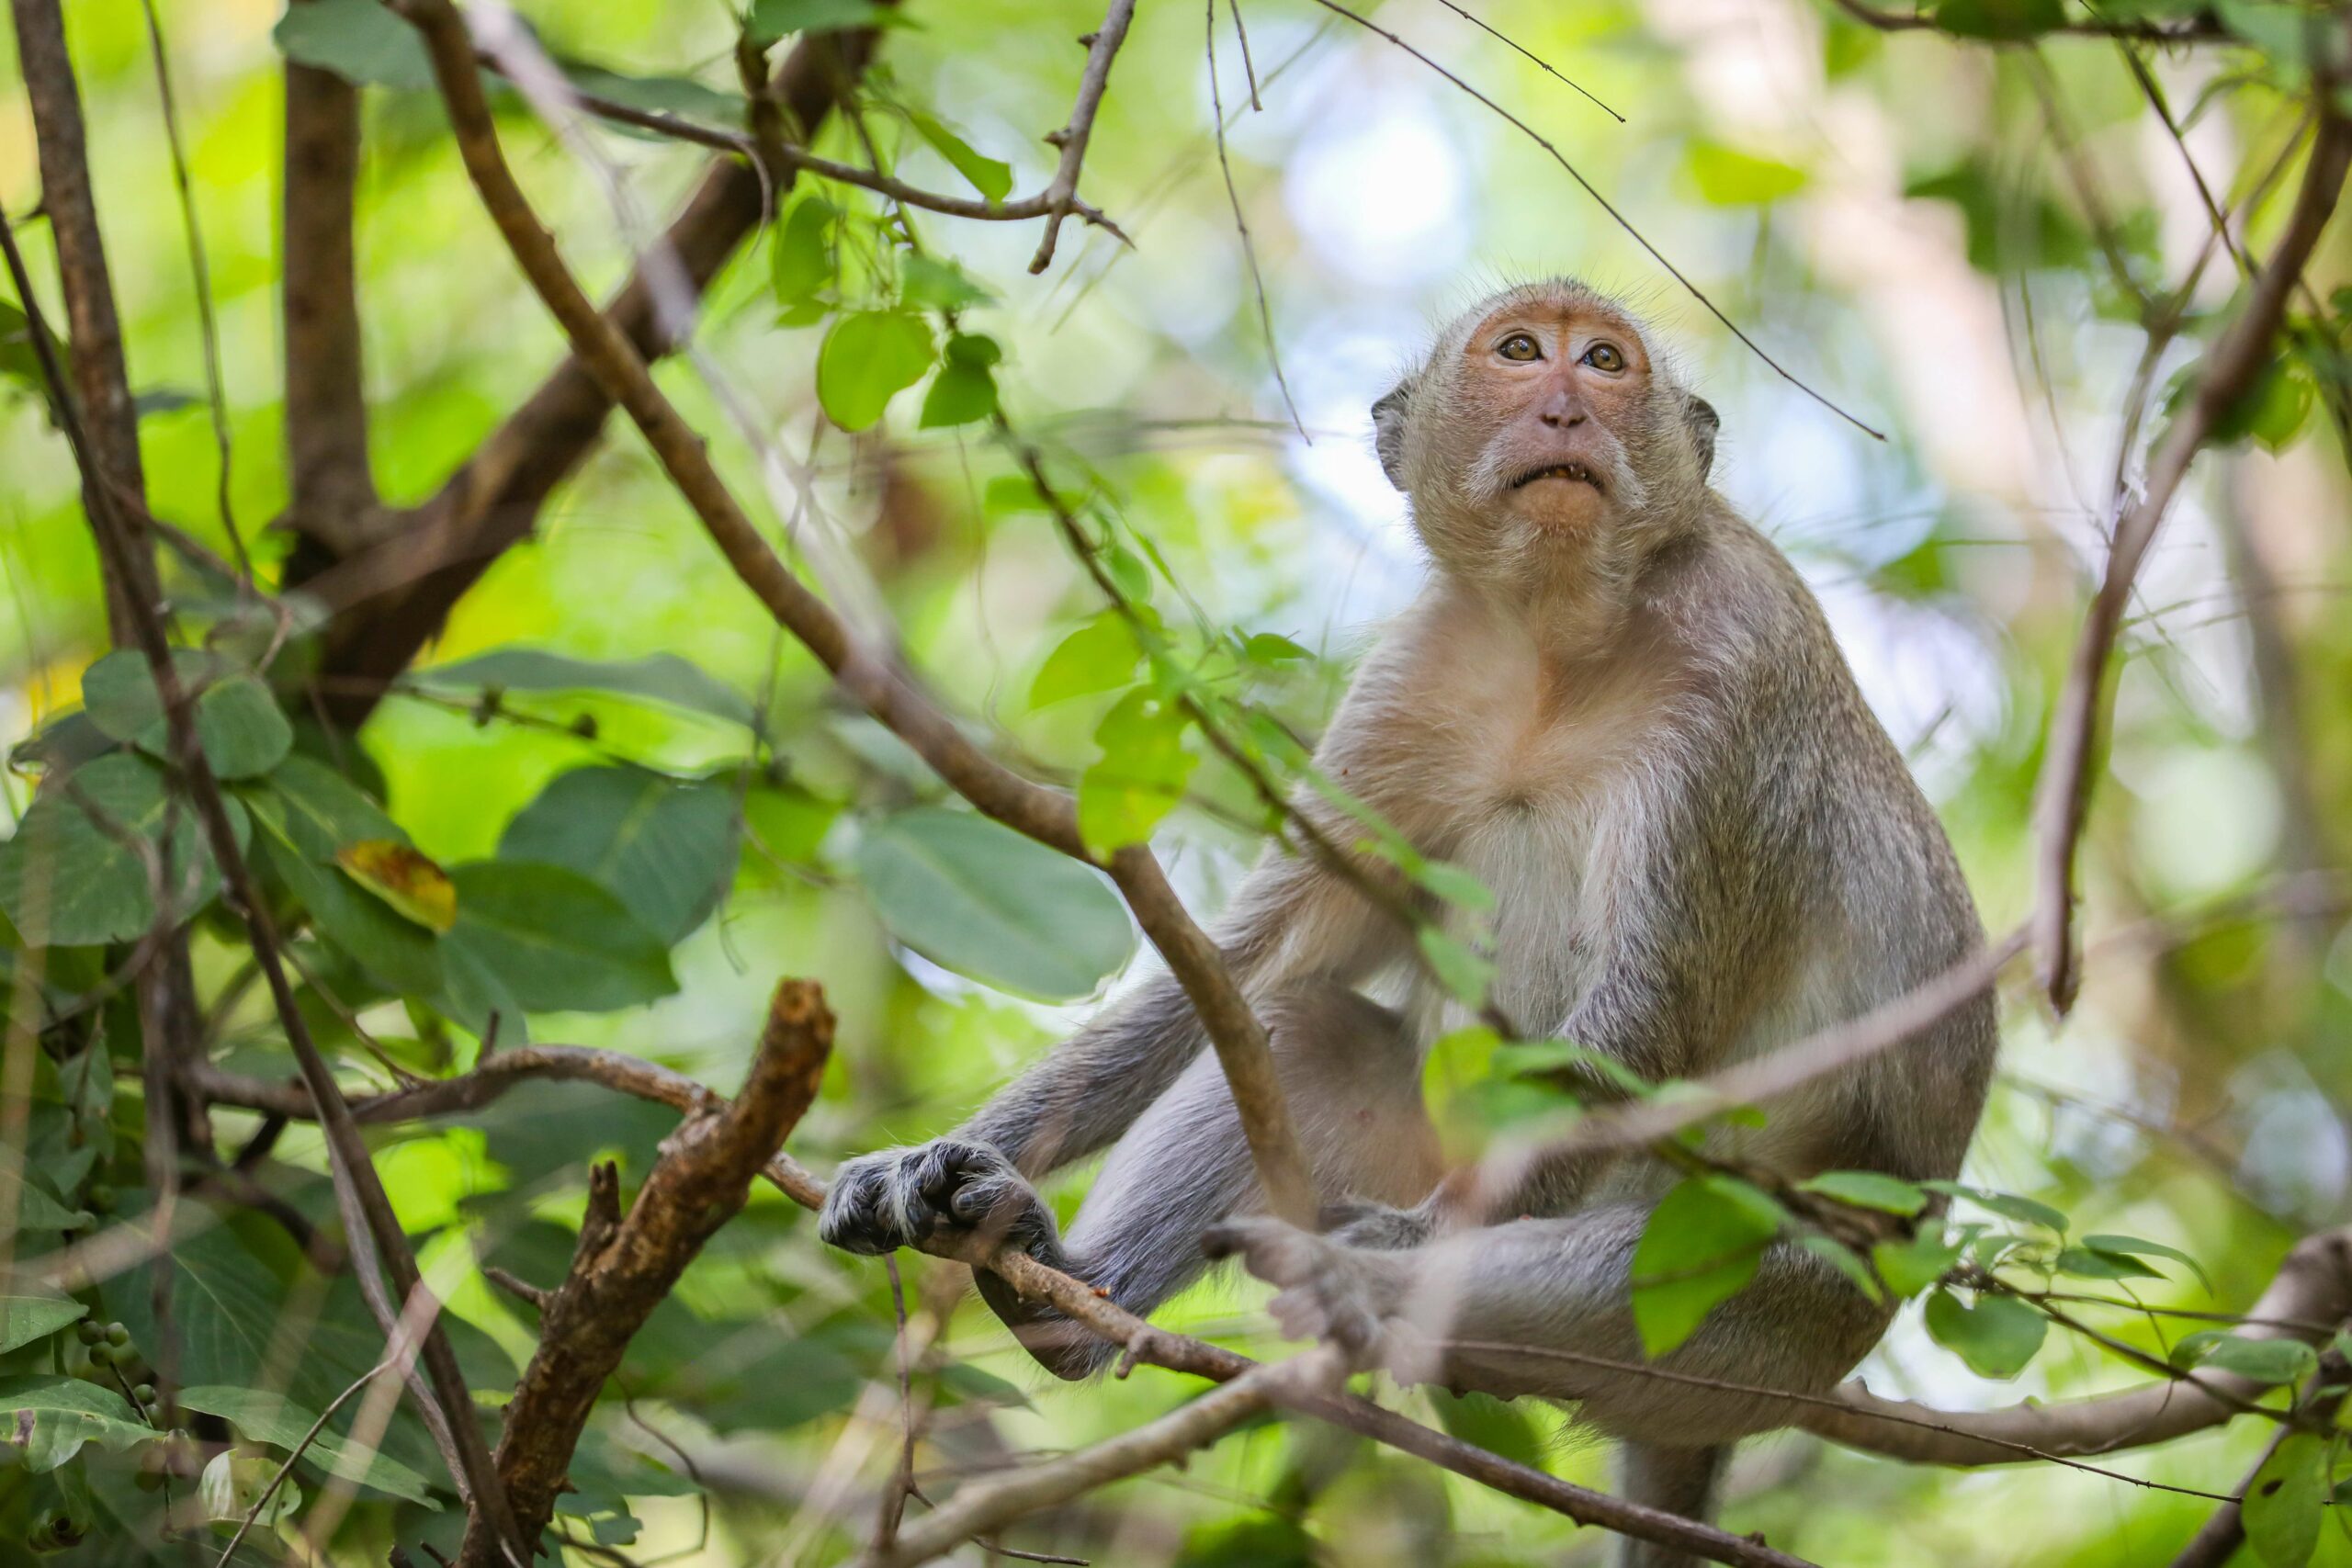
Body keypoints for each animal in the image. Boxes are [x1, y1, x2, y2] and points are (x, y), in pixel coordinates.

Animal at [818, 276, 1994, 1561]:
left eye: (1604, 362)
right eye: (1521, 352)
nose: (1566, 406)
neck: (1557, 646)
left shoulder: (1737, 676)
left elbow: (1648, 1023)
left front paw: (1396, 1261)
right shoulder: (1411, 686)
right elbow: (1237, 974)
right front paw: (927, 1160)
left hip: (1785, 1330)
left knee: (1696, 1244)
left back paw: (1361, 1279)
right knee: (1301, 1030)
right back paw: (1069, 1298)